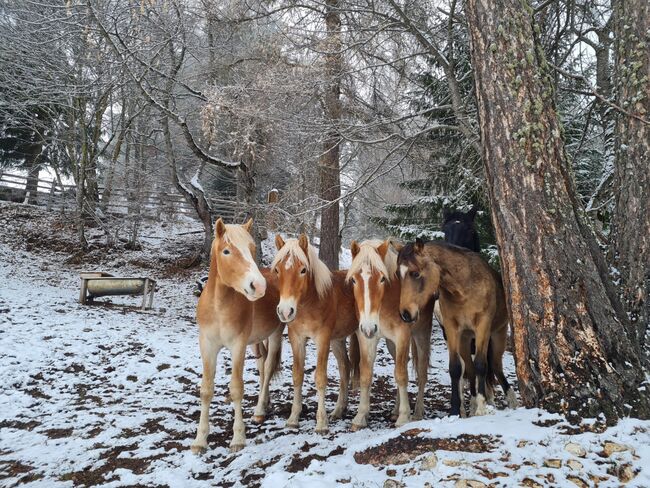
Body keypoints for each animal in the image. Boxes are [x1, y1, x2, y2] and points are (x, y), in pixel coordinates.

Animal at [192, 218, 284, 454]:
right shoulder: (207, 345)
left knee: (268, 367)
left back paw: (260, 411)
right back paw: (265, 402)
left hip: (275, 334)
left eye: (252, 249)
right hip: (257, 341)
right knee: (262, 367)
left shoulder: (238, 345)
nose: (258, 286)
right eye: (226, 251)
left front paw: (238, 438)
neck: (218, 306)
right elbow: (206, 389)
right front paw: (199, 440)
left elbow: (236, 388)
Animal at [270, 234, 356, 432]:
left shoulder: (322, 339)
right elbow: (297, 375)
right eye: (277, 270)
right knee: (345, 367)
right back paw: (339, 410)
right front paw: (293, 418)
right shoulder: (297, 339)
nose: (285, 311)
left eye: (303, 270)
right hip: (338, 340)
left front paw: (321, 423)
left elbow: (320, 378)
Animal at [346, 240, 432, 430]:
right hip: (391, 344)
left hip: (421, 335)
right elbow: (366, 375)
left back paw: (417, 412)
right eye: (354, 279)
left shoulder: (402, 337)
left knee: (421, 373)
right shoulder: (366, 338)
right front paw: (360, 416)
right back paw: (395, 410)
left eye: (382, 279)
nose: (369, 326)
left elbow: (401, 375)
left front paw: (404, 417)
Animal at [392, 238, 512, 418]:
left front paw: (482, 408)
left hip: (498, 335)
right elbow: (455, 368)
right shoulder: (452, 329)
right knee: (470, 369)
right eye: (398, 274)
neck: (465, 288)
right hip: (465, 340)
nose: (406, 314)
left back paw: (511, 401)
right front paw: (456, 410)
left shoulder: (482, 326)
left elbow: (481, 365)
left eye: (415, 273)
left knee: (495, 367)